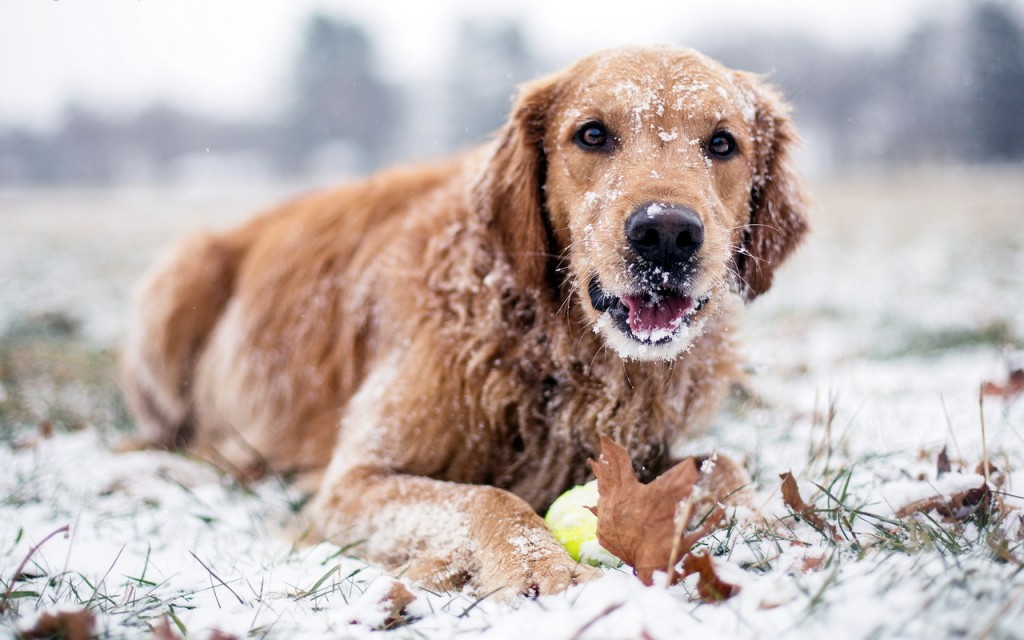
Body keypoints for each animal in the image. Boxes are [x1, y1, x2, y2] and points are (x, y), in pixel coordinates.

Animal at [119, 46, 806, 598]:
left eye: (722, 143)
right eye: (592, 135)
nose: (666, 232)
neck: (552, 348)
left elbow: (723, 463)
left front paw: (771, 527)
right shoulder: (352, 483)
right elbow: (488, 497)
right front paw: (544, 570)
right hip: (176, 279)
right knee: (168, 434)